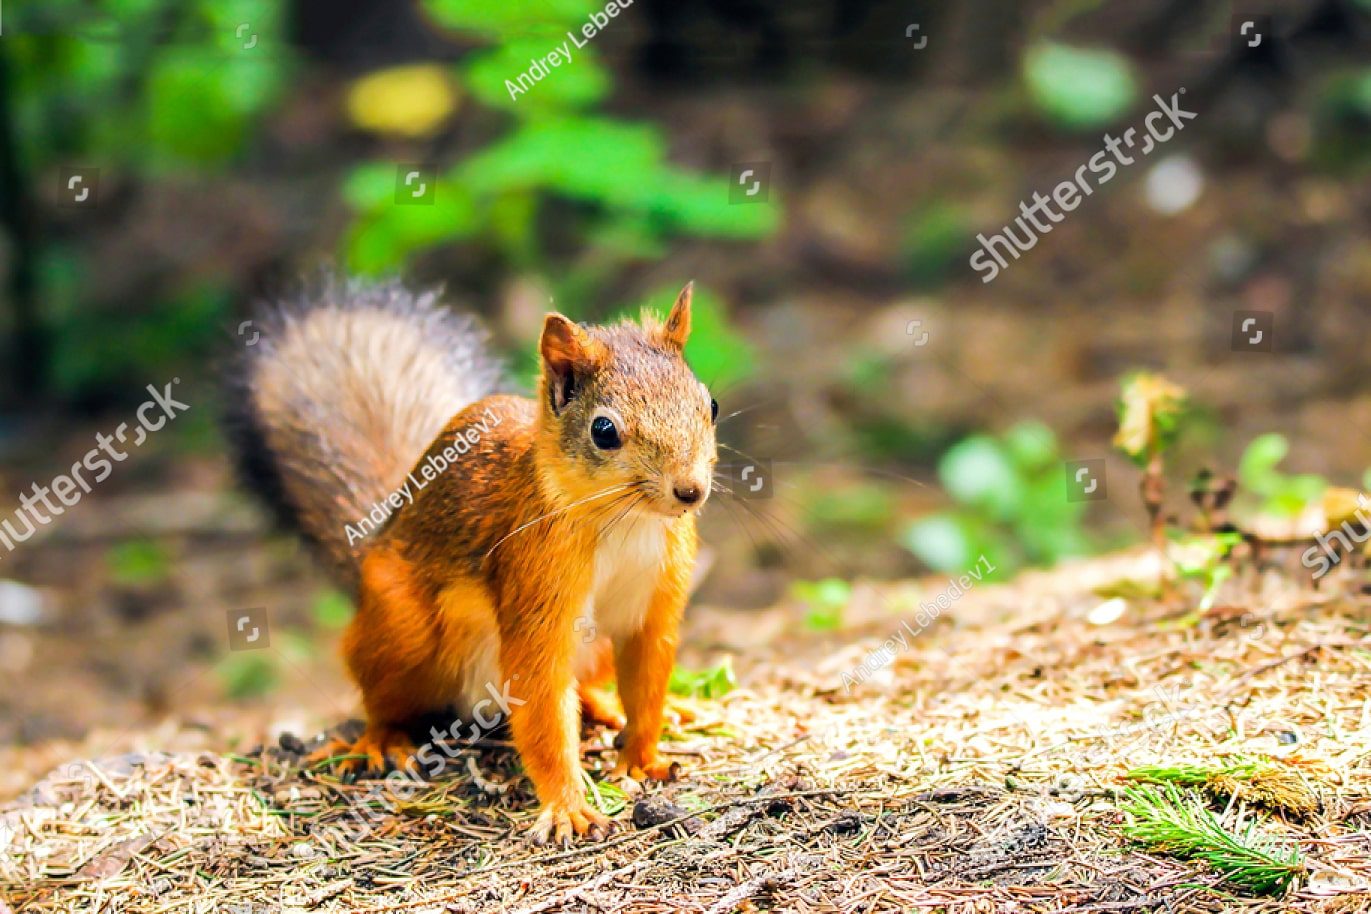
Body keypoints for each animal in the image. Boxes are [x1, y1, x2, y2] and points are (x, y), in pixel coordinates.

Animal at [226, 276, 716, 843]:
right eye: (604, 431)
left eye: (711, 404)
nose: (689, 491)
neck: (627, 523)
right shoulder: (534, 581)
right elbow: (542, 699)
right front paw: (568, 805)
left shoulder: (656, 602)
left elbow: (647, 678)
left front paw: (641, 757)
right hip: (404, 629)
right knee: (380, 695)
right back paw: (381, 739)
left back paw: (605, 705)